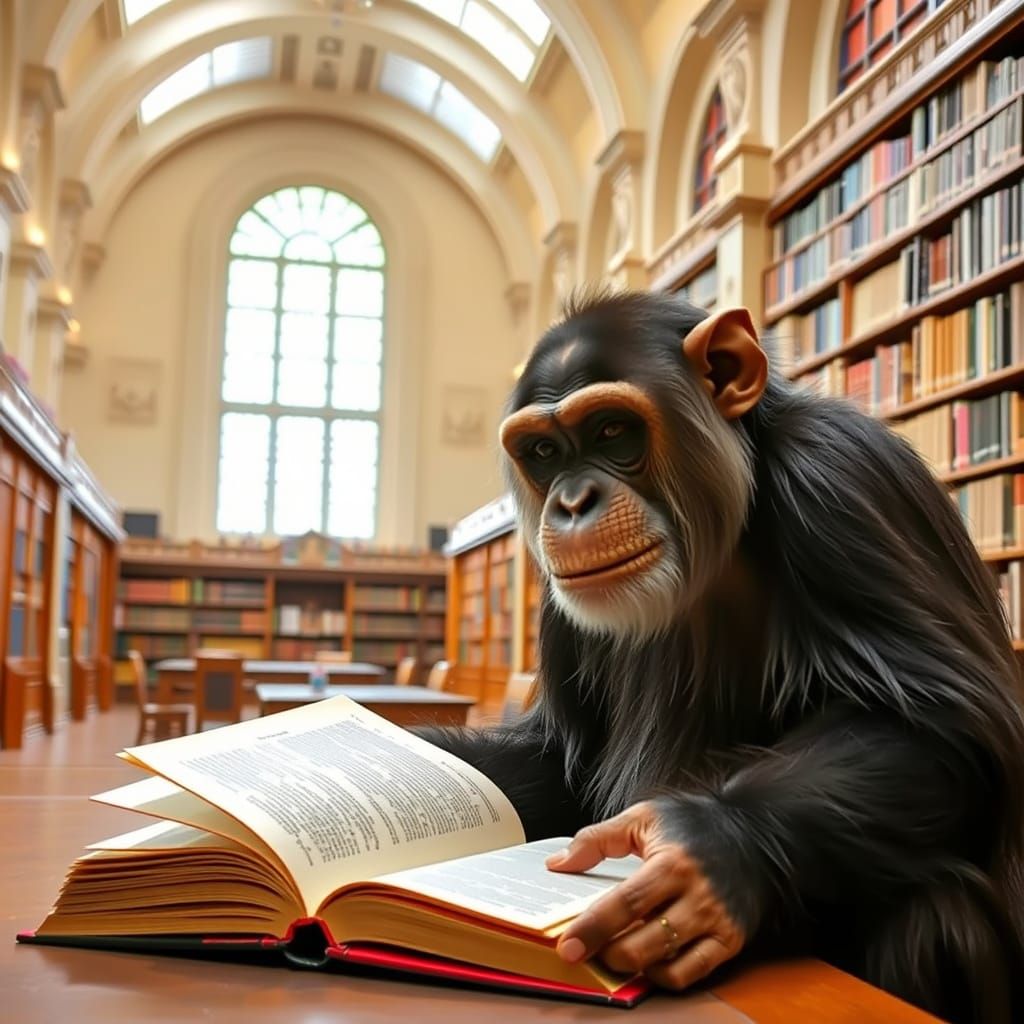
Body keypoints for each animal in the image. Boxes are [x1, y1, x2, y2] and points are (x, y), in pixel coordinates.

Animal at [417, 288, 1024, 1024]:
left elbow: (935, 725)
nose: (570, 501)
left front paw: (711, 850)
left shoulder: (847, 478)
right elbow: (563, 761)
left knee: (935, 907)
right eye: (542, 450)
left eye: (612, 432)